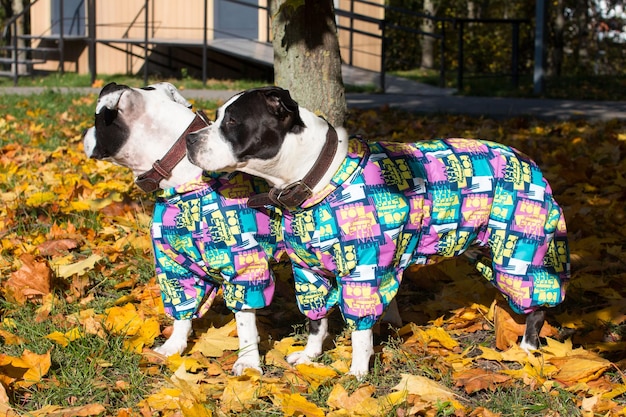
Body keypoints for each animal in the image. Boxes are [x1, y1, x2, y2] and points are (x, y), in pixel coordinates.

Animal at [81, 82, 282, 374]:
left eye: (96, 120)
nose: (83, 133)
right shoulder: (174, 266)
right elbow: (182, 307)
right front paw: (173, 346)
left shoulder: (245, 264)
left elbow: (244, 320)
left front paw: (248, 361)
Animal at [183, 85, 568, 376]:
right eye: (215, 118)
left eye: (232, 121)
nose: (190, 139)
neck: (317, 176)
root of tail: (528, 160)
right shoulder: (309, 273)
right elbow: (316, 321)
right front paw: (310, 356)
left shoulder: (363, 273)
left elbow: (360, 331)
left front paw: (357, 371)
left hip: (521, 252)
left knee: (537, 301)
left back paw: (526, 349)